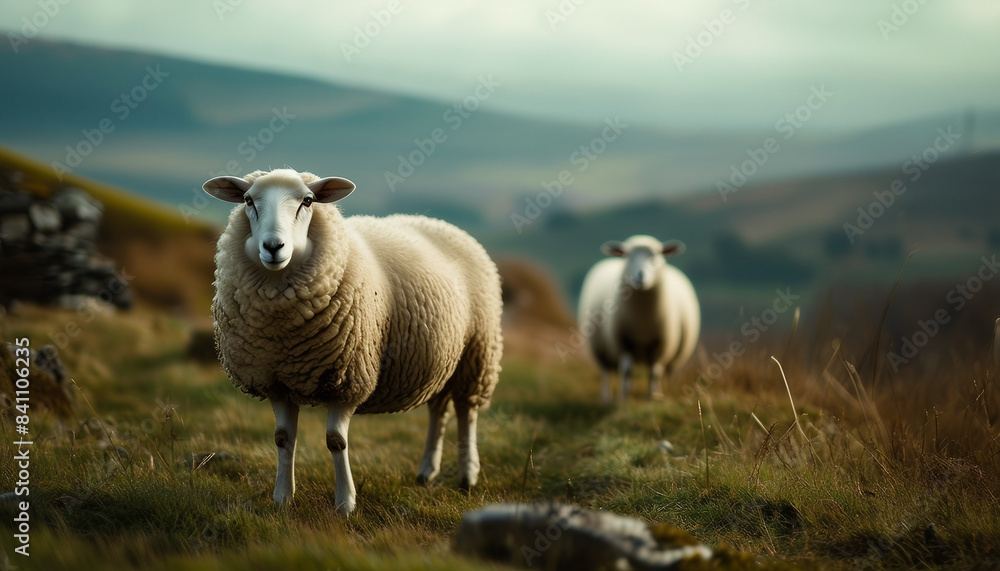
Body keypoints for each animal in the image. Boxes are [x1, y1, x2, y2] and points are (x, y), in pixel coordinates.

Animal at [203, 169, 503, 515]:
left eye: (308, 201)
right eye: (248, 200)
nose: (273, 246)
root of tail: (442, 223)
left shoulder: (347, 378)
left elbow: (336, 441)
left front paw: (345, 504)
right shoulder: (276, 379)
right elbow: (282, 438)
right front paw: (283, 498)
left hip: (477, 352)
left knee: (467, 412)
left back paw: (468, 476)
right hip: (442, 359)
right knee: (438, 409)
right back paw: (427, 471)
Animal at [577, 235, 699, 404]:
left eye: (655, 255)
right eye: (628, 255)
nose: (640, 276)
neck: (643, 320)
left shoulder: (660, 343)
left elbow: (654, 373)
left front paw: (651, 398)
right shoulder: (623, 340)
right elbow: (627, 371)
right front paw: (624, 399)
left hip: (675, 355)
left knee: (666, 372)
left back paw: (664, 393)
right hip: (601, 348)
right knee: (606, 371)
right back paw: (606, 398)